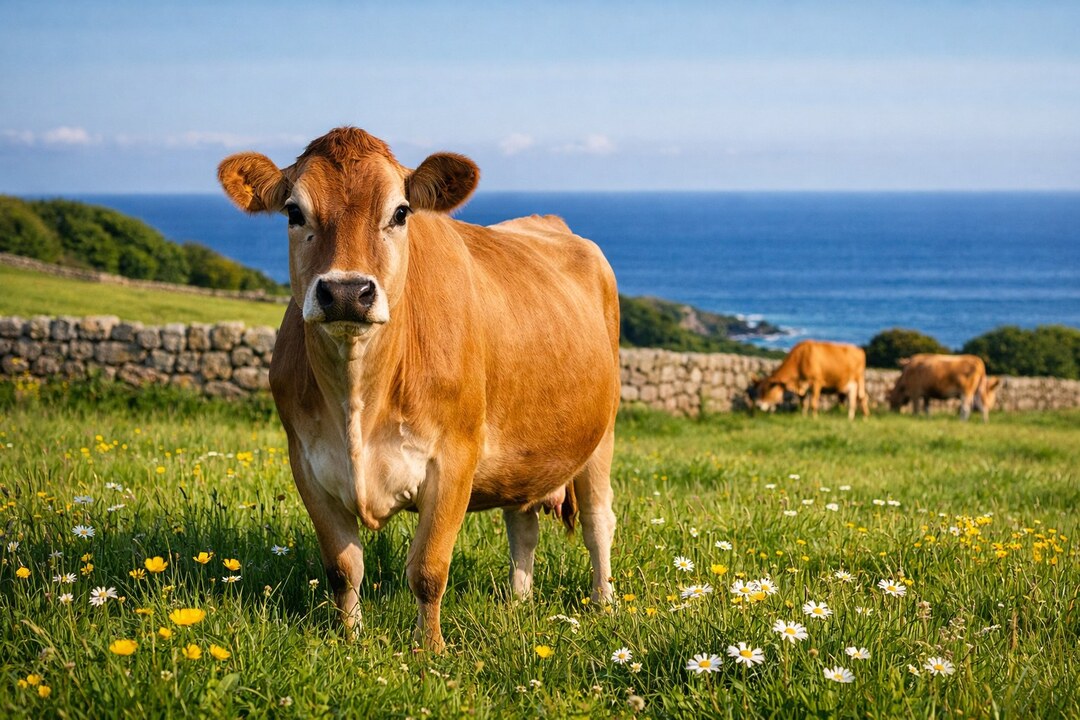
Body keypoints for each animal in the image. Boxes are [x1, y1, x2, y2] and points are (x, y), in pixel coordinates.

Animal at [217, 127, 620, 652]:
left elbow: (428, 569)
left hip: (602, 432)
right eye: (293, 212)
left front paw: (429, 650)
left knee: (598, 521)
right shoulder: (306, 462)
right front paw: (349, 640)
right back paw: (518, 603)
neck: (358, 403)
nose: (346, 292)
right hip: (525, 453)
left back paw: (603, 603)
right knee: (523, 526)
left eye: (401, 212)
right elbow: (343, 568)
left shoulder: (455, 457)